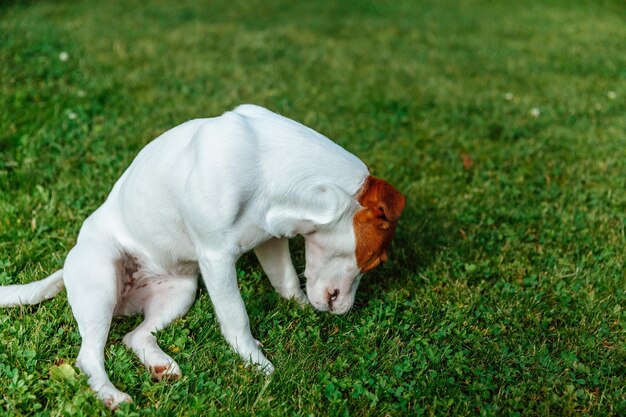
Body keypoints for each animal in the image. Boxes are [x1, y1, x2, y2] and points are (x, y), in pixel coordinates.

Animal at [0, 104, 404, 406]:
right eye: (377, 262)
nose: (345, 311)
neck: (274, 170)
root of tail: (68, 268)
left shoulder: (270, 242)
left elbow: (288, 281)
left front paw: (299, 311)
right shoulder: (216, 259)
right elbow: (237, 316)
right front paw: (258, 364)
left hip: (179, 294)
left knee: (136, 336)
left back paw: (161, 364)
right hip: (101, 284)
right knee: (89, 356)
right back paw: (112, 395)